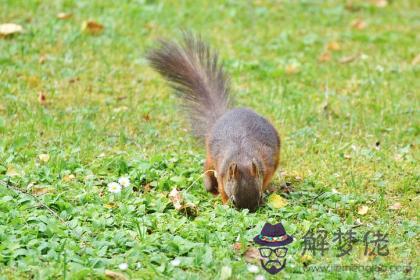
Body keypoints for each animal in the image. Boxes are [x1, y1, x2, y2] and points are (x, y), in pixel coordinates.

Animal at [146, 34, 280, 211]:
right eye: (234, 200)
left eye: (258, 197)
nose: (248, 211)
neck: (242, 156)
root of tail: (224, 115)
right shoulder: (222, 173)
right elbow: (223, 189)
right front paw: (222, 202)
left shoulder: (267, 165)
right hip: (210, 156)